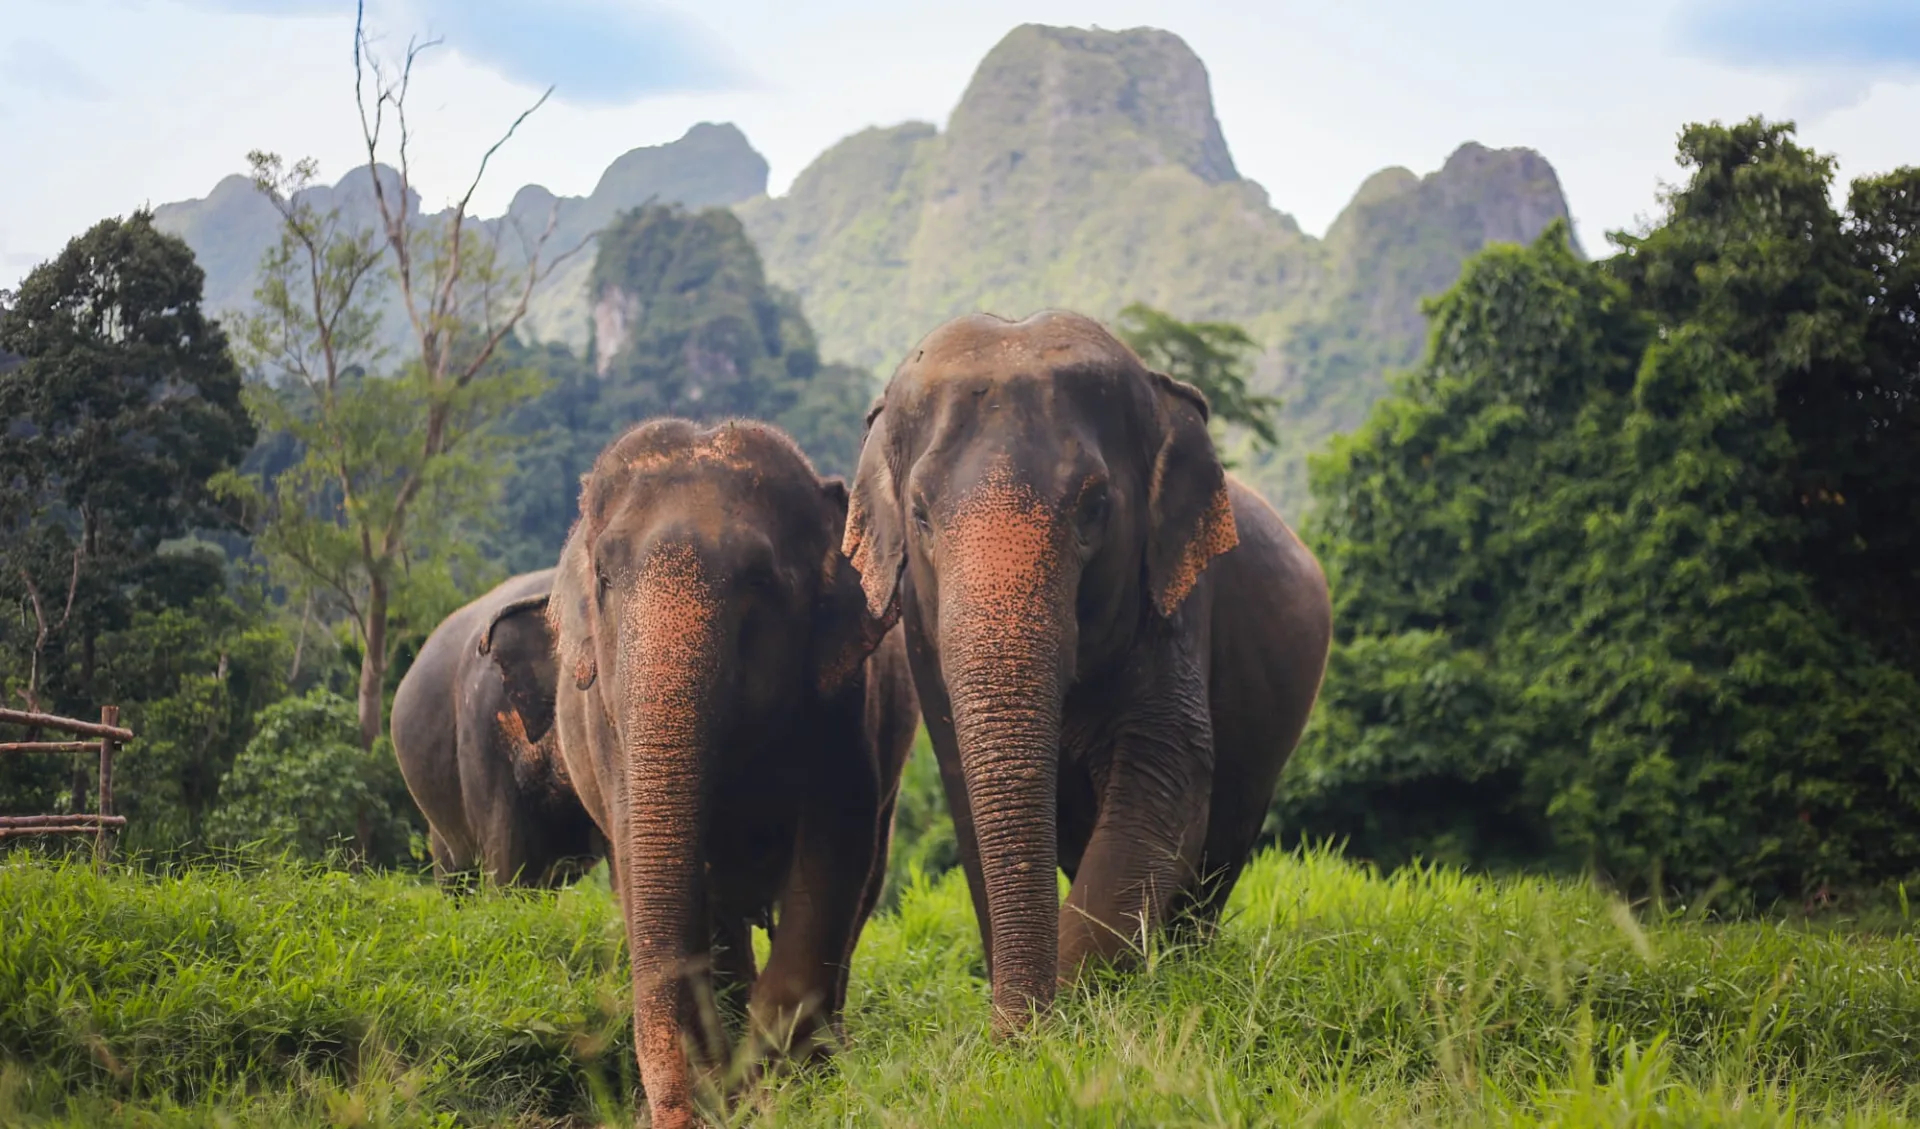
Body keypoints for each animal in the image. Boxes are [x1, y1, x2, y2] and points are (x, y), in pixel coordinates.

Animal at [551, 418, 918, 1128]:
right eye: (604, 576)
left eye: (759, 581)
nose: (670, 1116)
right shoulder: (608, 728)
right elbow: (649, 874)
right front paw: (732, 1088)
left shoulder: (843, 705)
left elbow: (831, 862)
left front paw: (778, 1088)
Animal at [842, 310, 1332, 1033]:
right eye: (921, 513)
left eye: (1095, 506)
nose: (1013, 1037)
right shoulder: (922, 641)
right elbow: (968, 801)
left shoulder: (1178, 598)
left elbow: (1167, 779)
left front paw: (1069, 1015)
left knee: (1220, 851)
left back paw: (1183, 967)